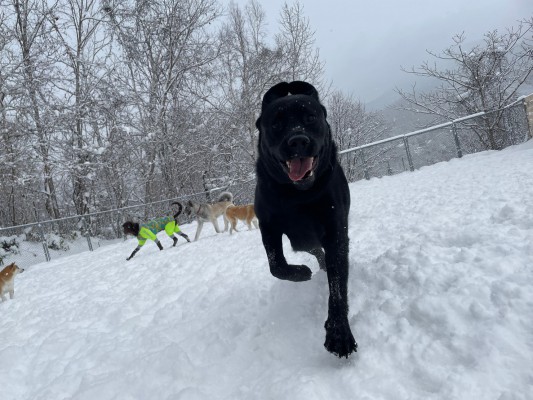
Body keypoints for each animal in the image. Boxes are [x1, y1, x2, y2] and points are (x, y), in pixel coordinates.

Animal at [255, 79, 358, 358]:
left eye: (310, 118)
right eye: (276, 123)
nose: (298, 140)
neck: (297, 197)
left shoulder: (336, 232)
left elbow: (337, 287)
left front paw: (338, 333)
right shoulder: (268, 226)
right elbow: (276, 264)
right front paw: (300, 272)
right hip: (303, 242)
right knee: (315, 253)